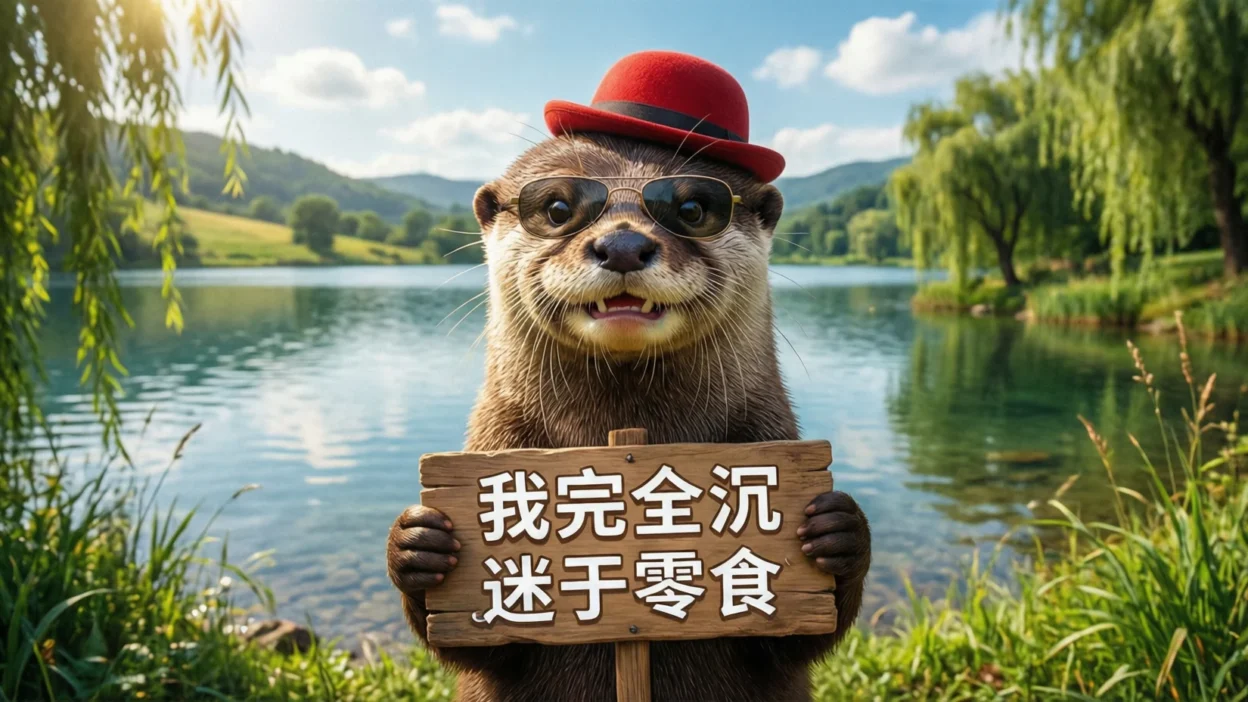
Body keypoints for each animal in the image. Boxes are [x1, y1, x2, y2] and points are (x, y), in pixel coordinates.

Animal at [386, 132, 871, 701]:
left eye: (692, 208)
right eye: (557, 208)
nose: (621, 245)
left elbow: (798, 641)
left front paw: (837, 530)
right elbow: (472, 649)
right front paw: (418, 543)